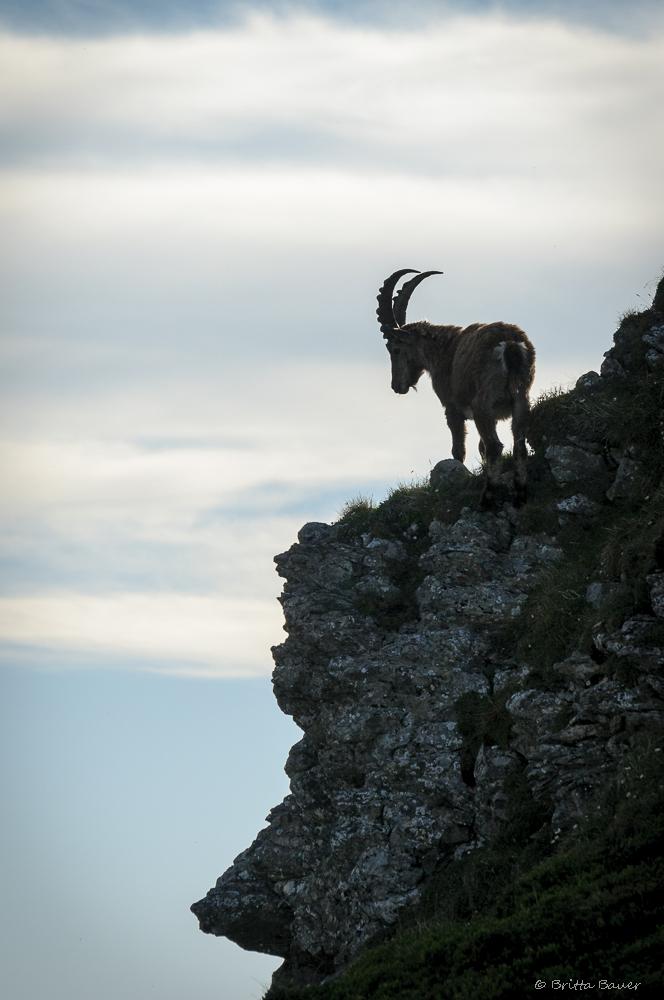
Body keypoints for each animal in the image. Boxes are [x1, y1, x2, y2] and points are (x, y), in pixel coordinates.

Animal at [377, 269, 536, 507]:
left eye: (395, 349)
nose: (397, 386)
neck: (443, 350)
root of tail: (510, 345)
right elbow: (480, 448)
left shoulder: (452, 408)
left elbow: (458, 450)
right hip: (521, 399)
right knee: (518, 445)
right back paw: (520, 495)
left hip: (483, 403)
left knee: (495, 446)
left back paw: (486, 500)